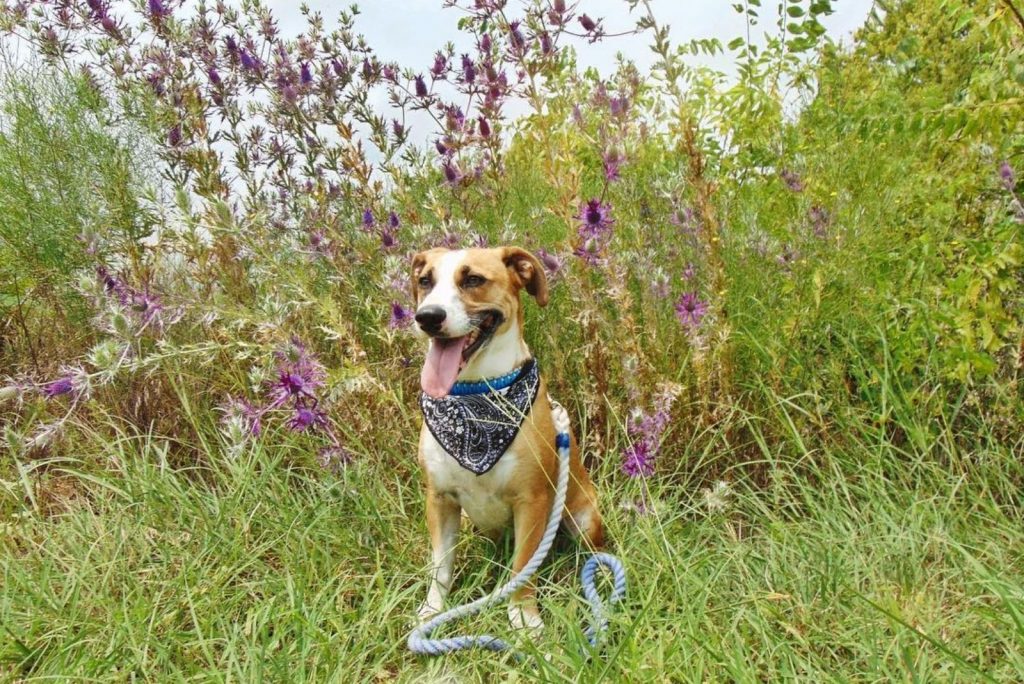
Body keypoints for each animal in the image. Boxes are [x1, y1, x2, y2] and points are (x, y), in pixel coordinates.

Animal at [407, 245, 598, 630]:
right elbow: (440, 567)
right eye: (425, 281)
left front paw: (523, 616)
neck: (475, 398)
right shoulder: (440, 499)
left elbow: (523, 567)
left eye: (473, 280)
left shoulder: (532, 501)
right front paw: (432, 611)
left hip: (585, 518)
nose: (428, 317)